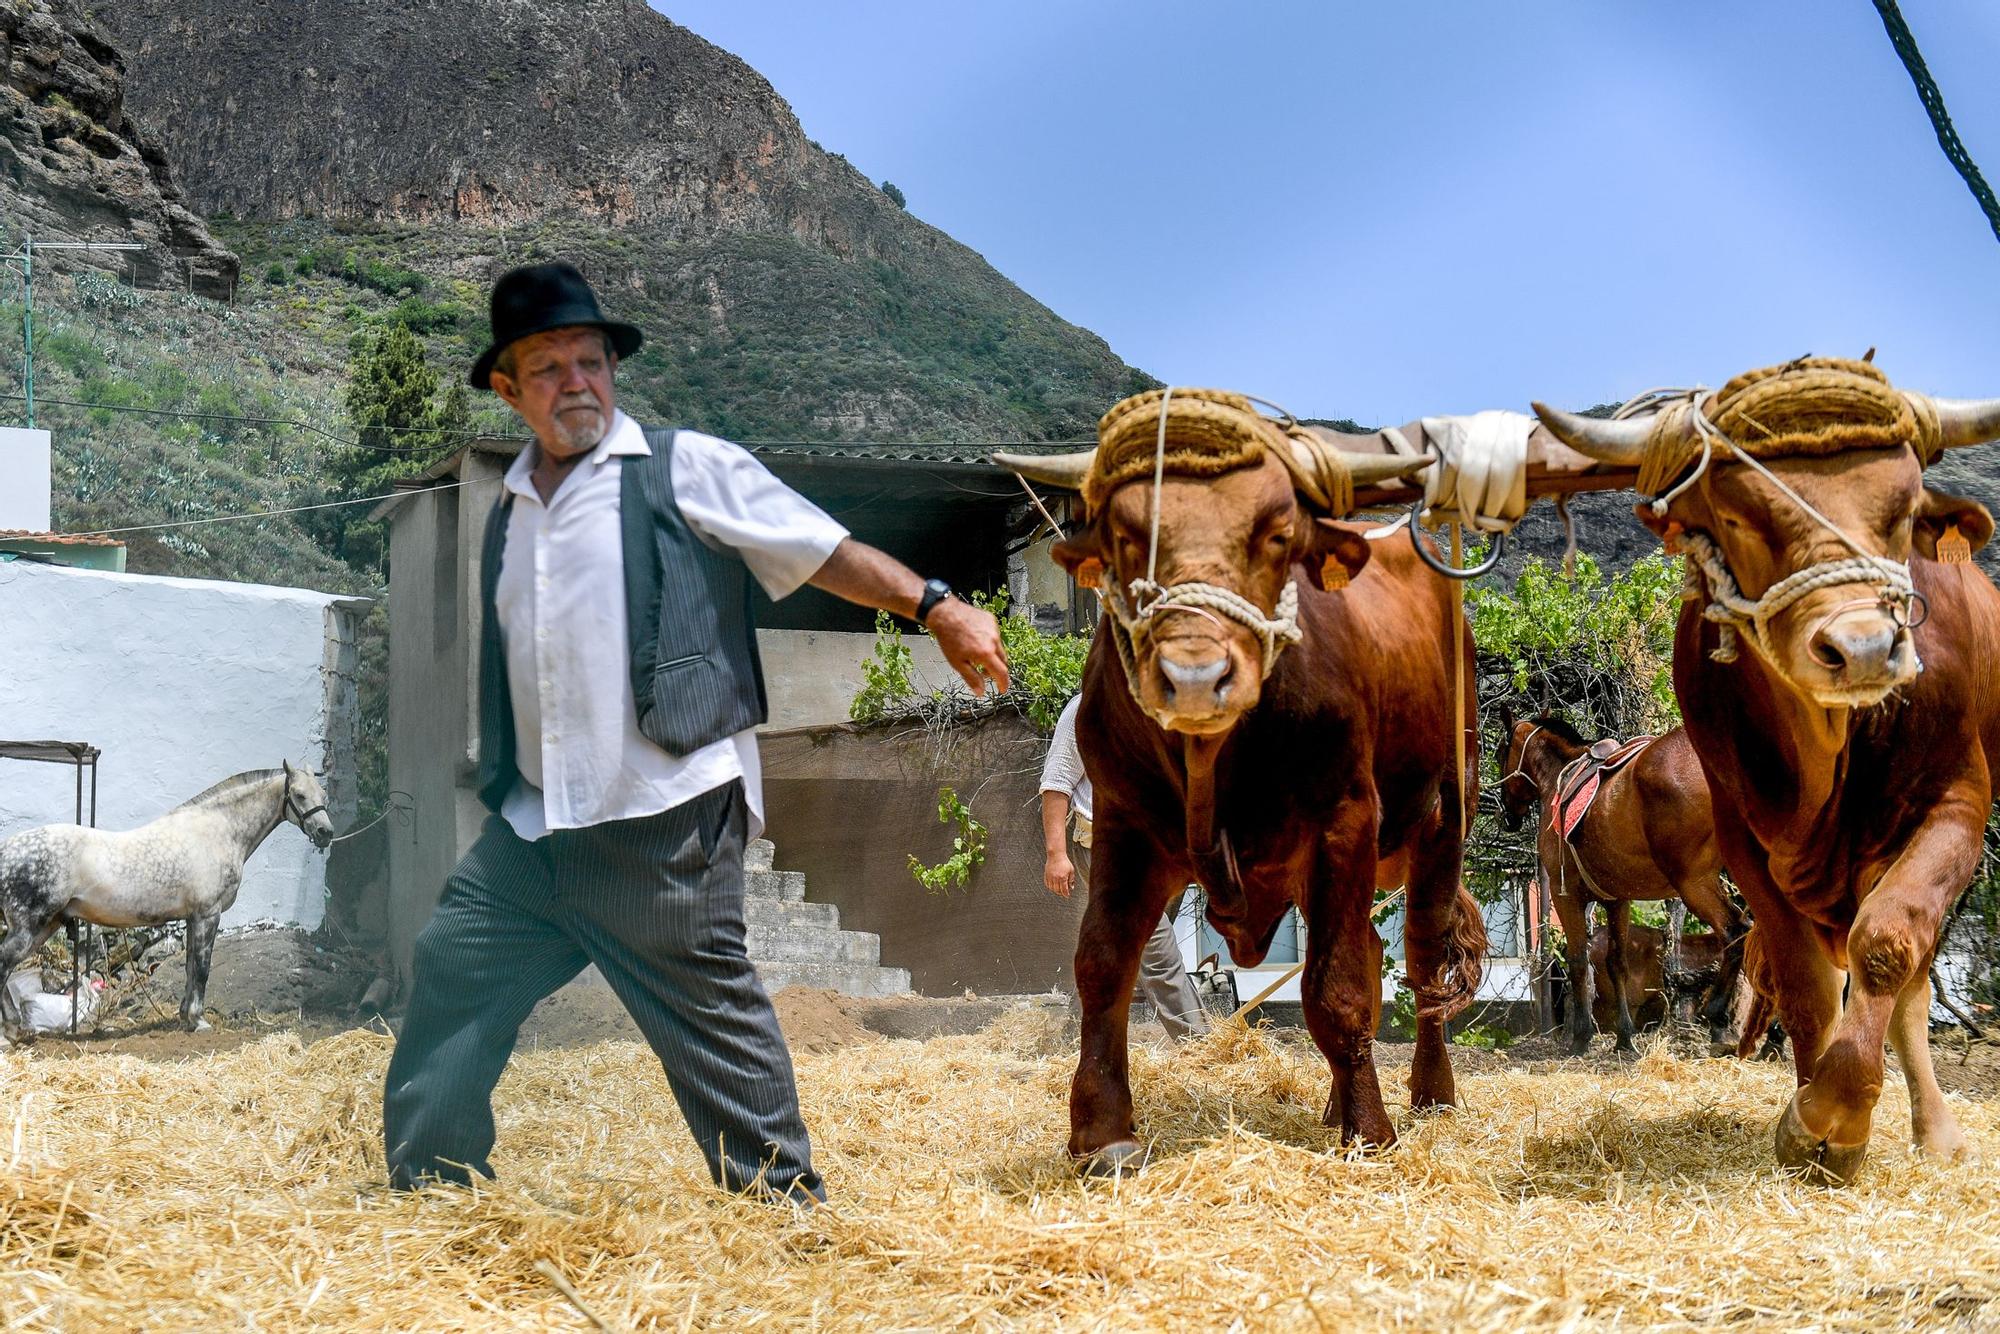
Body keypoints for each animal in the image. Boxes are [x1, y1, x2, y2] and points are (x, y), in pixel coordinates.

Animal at [0, 760, 332, 1032]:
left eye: (324, 796)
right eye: (299, 795)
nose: (325, 833)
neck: (218, 832)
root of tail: (7, 849)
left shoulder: (194, 917)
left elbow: (190, 967)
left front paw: (186, 1017)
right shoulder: (208, 914)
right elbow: (202, 968)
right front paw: (199, 1021)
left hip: (47, 925)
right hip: (28, 929)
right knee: (3, 963)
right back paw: (13, 1028)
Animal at [1496, 716, 1744, 1056]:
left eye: (1500, 753)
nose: (1507, 814)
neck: (1560, 778)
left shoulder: (1565, 896)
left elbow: (1578, 962)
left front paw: (1581, 1037)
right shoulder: (1618, 900)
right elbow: (1617, 964)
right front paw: (1624, 1038)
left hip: (1695, 883)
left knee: (1734, 931)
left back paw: (1718, 1020)